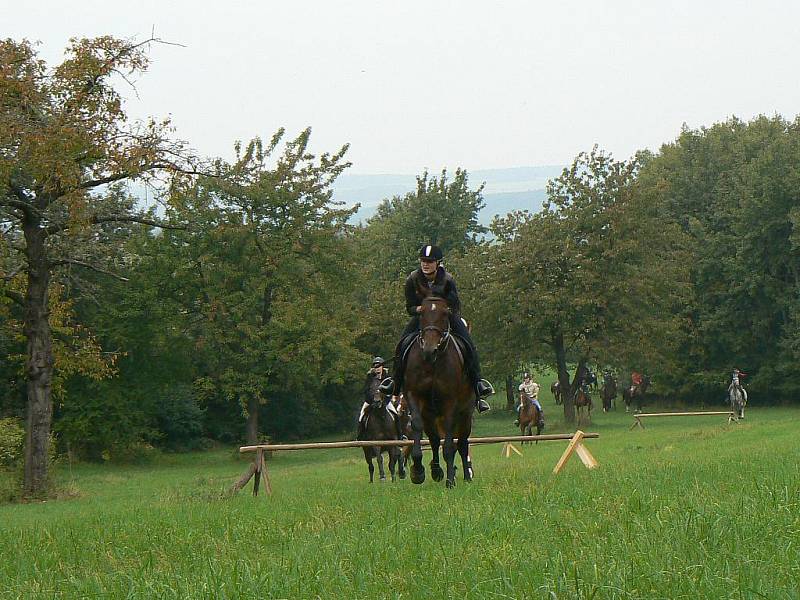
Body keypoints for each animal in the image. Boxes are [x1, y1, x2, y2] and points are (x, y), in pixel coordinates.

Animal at [406, 296, 476, 488]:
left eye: (445, 314)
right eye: (421, 314)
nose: (430, 350)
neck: (433, 364)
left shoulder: (450, 403)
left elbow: (451, 445)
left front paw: (451, 480)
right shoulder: (414, 396)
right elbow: (417, 426)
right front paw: (418, 471)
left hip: (465, 414)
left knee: (462, 443)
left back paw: (466, 476)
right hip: (430, 416)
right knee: (435, 440)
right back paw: (436, 471)